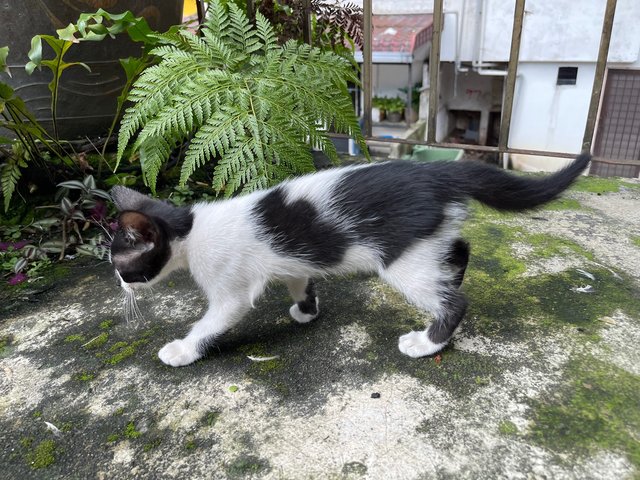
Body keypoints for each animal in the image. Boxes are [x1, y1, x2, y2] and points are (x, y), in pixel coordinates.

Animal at [109, 154, 592, 368]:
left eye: (121, 265)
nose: (120, 284)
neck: (192, 231)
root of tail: (434, 170)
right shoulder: (293, 262)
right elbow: (301, 281)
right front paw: (306, 311)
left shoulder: (230, 286)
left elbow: (215, 319)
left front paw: (183, 349)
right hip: (425, 238)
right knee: (459, 248)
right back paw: (453, 276)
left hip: (400, 258)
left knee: (454, 302)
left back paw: (429, 340)